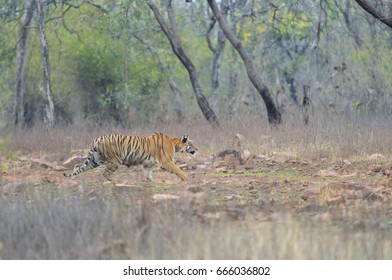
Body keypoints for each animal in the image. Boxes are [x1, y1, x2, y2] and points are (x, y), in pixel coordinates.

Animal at [65, 133, 199, 183]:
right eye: (191, 144)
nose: (197, 149)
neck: (174, 143)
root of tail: (97, 139)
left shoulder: (148, 164)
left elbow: (148, 173)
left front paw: (151, 181)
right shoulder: (166, 162)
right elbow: (178, 170)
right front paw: (186, 179)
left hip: (95, 160)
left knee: (78, 166)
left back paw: (71, 178)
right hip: (114, 161)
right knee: (106, 173)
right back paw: (116, 181)